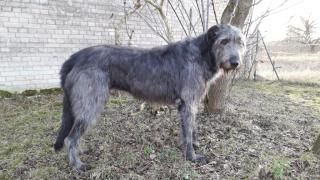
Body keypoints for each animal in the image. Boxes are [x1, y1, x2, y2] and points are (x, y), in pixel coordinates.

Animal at [53, 23, 246, 170]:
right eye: (224, 41)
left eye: (241, 43)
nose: (235, 62)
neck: (202, 53)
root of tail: (75, 57)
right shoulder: (187, 103)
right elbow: (188, 133)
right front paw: (192, 156)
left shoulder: (191, 103)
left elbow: (192, 128)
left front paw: (193, 145)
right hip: (91, 104)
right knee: (70, 138)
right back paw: (77, 165)